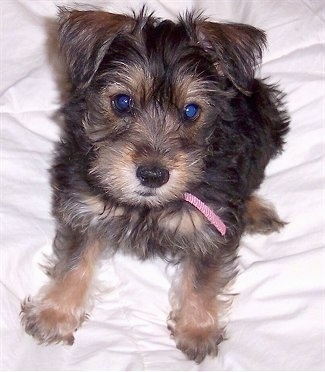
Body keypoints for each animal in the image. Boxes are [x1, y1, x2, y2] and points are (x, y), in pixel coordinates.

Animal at [20, 6, 288, 364]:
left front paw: (197, 329)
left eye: (191, 111)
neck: (147, 206)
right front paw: (55, 312)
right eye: (122, 102)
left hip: (266, 120)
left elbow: (202, 278)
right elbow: (73, 263)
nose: (152, 175)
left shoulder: (211, 226)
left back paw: (256, 211)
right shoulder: (84, 207)